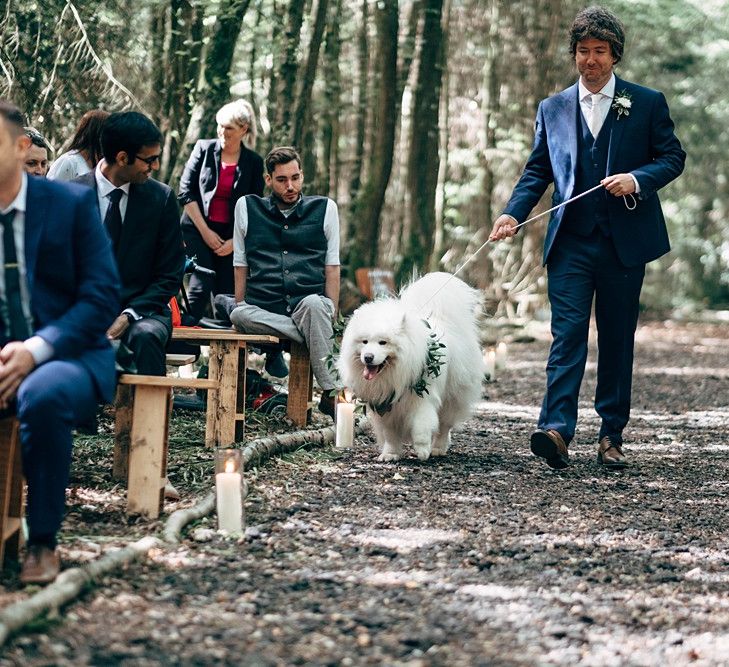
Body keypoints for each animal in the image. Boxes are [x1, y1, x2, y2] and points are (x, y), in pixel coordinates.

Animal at [338, 274, 486, 462]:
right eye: (364, 342)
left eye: (383, 342)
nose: (368, 357)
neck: (394, 373)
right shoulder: (387, 406)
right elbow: (391, 435)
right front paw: (390, 454)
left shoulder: (422, 401)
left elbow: (421, 428)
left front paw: (422, 451)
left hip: (452, 397)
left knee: (445, 426)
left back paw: (438, 448)